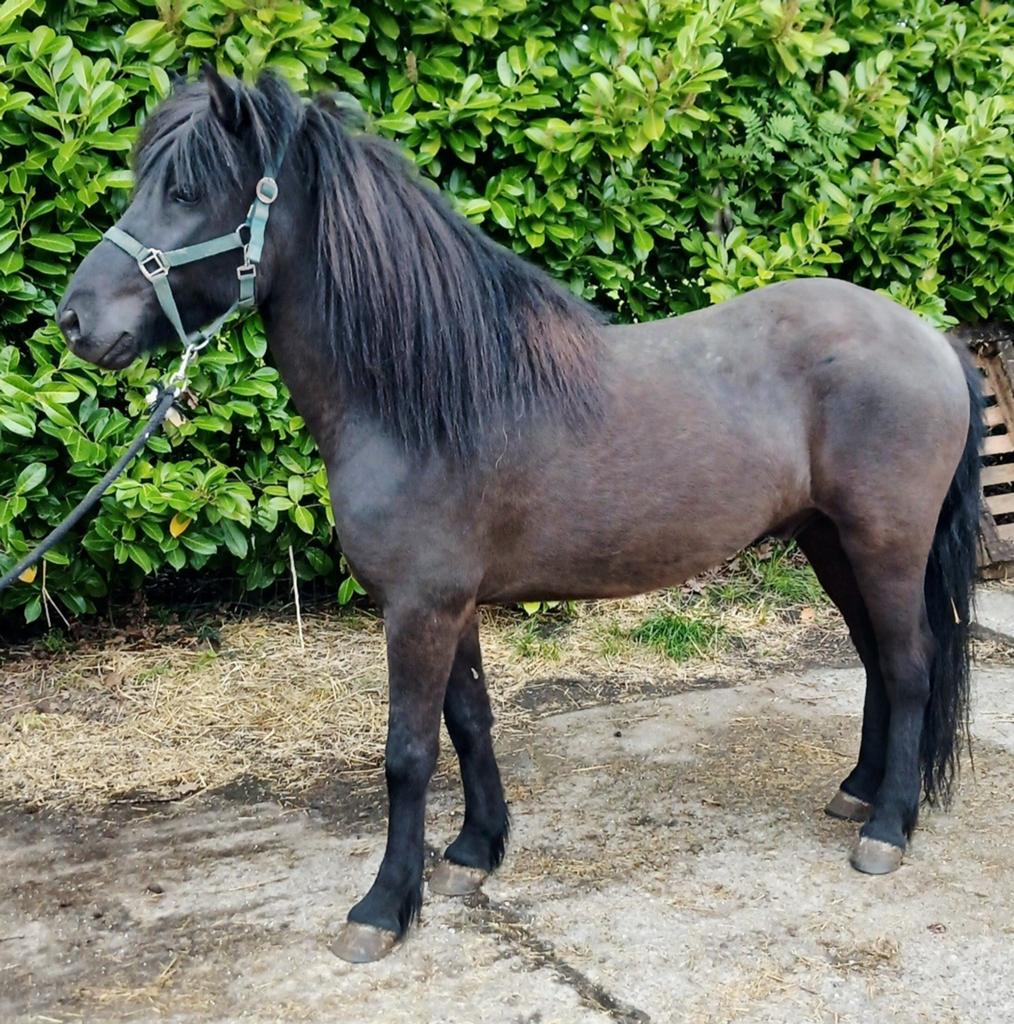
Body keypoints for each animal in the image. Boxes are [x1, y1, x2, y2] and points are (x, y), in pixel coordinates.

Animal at [57, 68, 982, 964]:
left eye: (184, 190)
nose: (73, 318)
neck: (425, 397)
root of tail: (931, 339)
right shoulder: (449, 606)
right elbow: (470, 722)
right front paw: (474, 852)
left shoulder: (418, 610)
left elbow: (408, 754)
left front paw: (383, 909)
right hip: (831, 543)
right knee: (875, 660)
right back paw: (857, 793)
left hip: (885, 544)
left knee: (909, 665)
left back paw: (886, 829)